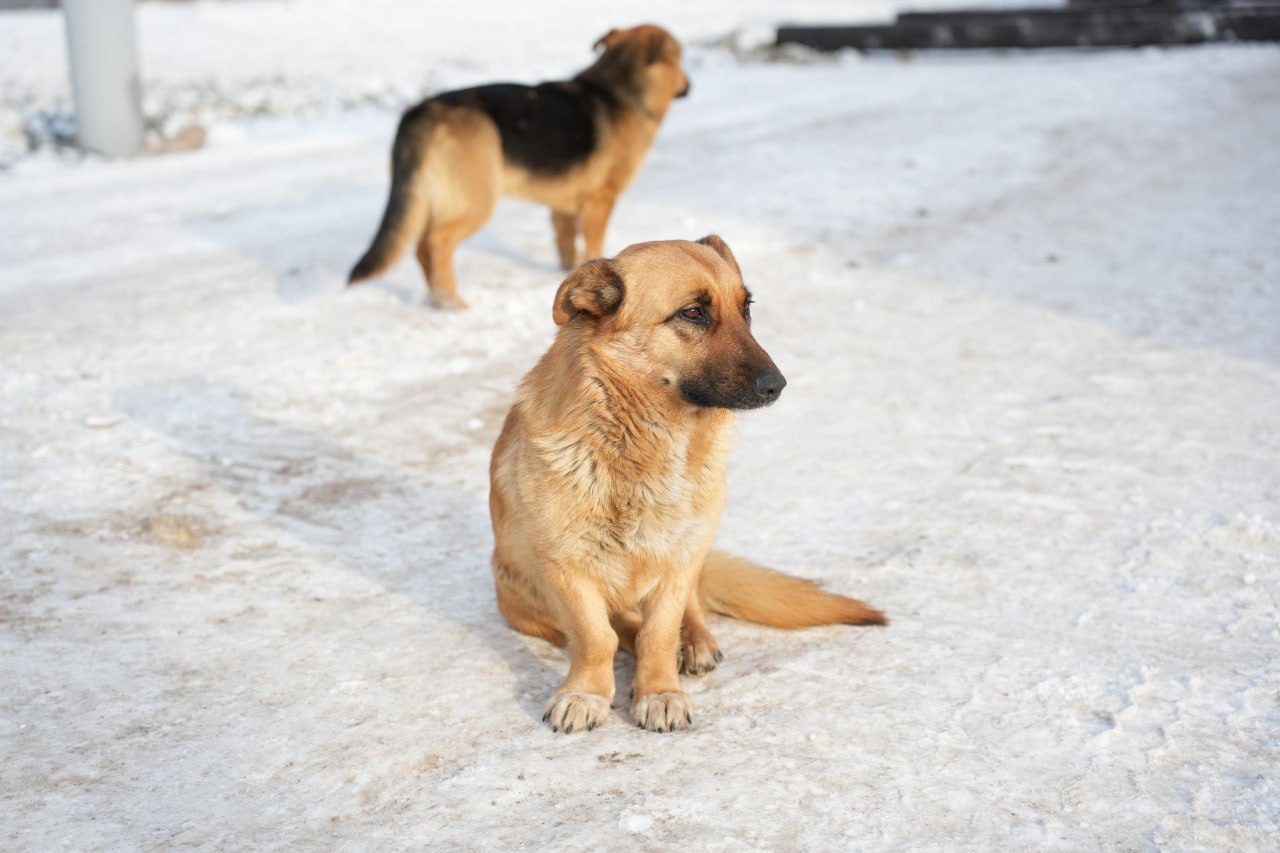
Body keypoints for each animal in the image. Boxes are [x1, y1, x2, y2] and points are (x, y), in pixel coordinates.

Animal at [345, 23, 691, 308]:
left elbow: (566, 242)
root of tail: (422, 110)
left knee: (421, 247)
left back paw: (436, 296)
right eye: (680, 59)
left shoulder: (563, 205)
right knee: (436, 241)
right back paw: (449, 300)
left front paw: (572, 276)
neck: (619, 88)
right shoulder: (600, 201)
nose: (690, 85)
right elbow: (593, 243)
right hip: (476, 200)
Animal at [483, 234, 885, 732]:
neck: (643, 445)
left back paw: (693, 642)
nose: (777, 385)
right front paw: (587, 692)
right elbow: (596, 637)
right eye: (693, 313)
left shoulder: (677, 561)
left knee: (685, 609)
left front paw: (659, 691)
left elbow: (658, 633)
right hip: (517, 596)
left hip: (693, 548)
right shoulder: (566, 569)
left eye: (746, 308)